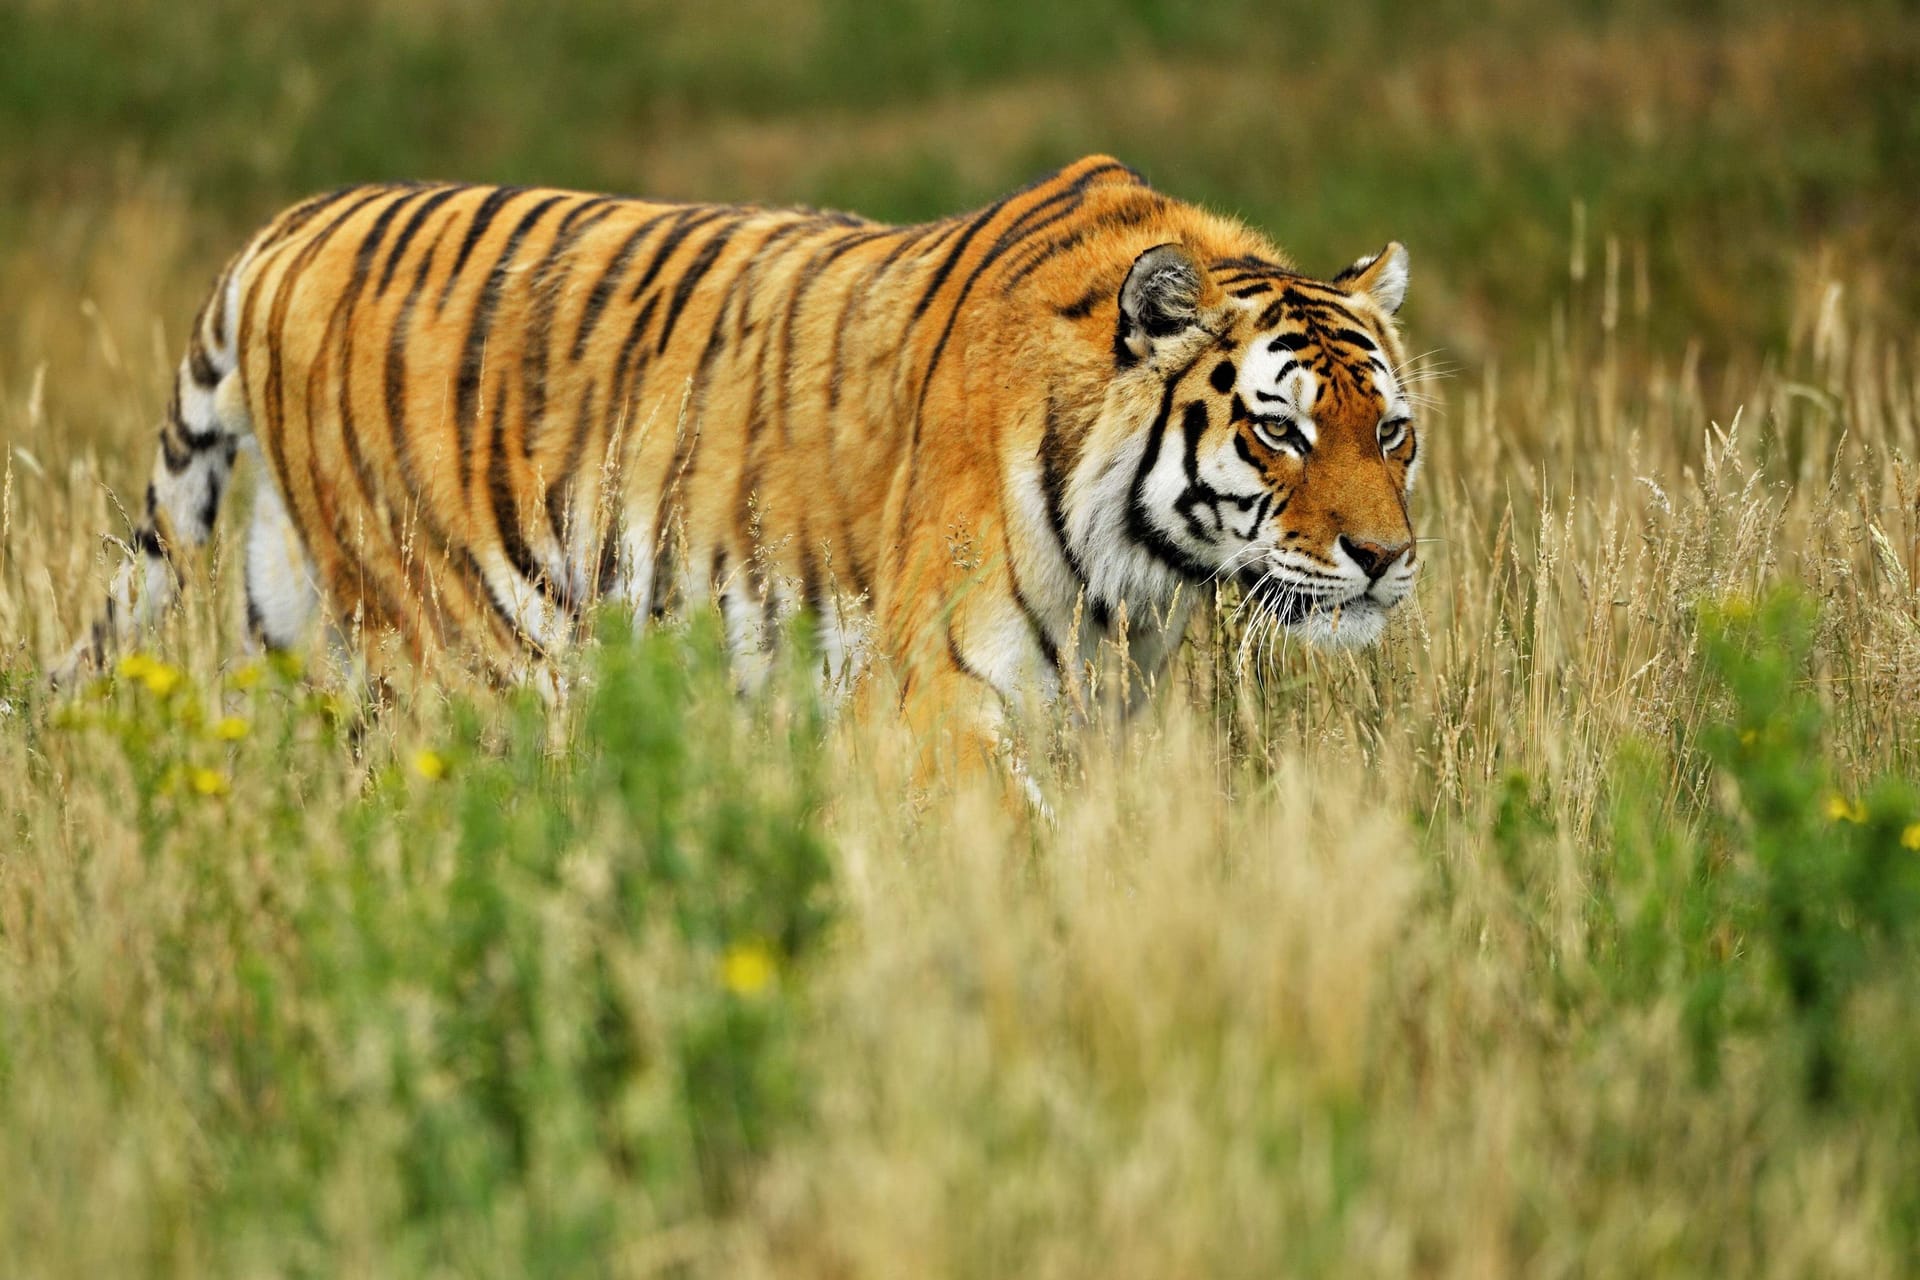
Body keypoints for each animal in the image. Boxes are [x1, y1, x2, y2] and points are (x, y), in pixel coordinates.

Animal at [60, 156, 1420, 767]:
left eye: (1392, 432)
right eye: (1280, 429)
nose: (1387, 558)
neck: (1143, 571)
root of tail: (287, 229)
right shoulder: (938, 696)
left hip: (300, 634)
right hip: (478, 653)